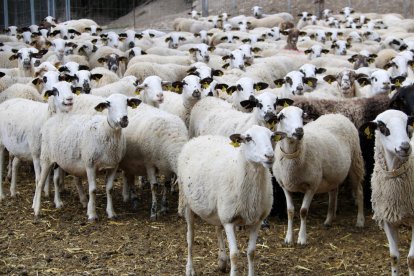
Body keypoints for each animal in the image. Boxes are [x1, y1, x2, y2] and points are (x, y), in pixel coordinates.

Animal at [32, 92, 142, 220]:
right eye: (108, 104)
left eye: (127, 102)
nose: (124, 119)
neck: (105, 131)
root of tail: (53, 118)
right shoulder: (90, 164)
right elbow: (93, 190)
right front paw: (92, 214)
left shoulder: (113, 166)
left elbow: (109, 189)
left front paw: (111, 213)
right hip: (46, 158)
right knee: (40, 182)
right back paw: (37, 209)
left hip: (58, 161)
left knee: (57, 180)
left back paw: (58, 203)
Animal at [178, 125, 274, 276]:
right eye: (248, 138)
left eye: (272, 136)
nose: (270, 156)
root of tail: (198, 138)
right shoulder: (229, 220)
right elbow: (234, 255)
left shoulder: (257, 220)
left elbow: (251, 252)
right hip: (188, 202)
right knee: (190, 237)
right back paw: (190, 268)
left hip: (220, 208)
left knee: (218, 228)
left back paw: (222, 260)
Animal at [274, 106, 366, 246]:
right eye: (281, 117)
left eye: (302, 115)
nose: (299, 131)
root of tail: (337, 114)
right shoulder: (285, 185)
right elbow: (290, 211)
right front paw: (288, 238)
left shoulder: (312, 185)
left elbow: (303, 211)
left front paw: (302, 239)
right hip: (334, 172)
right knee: (334, 191)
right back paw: (329, 219)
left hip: (355, 161)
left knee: (359, 191)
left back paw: (360, 221)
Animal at [360, 110, 414, 276]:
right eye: (382, 127)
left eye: (407, 124)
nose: (405, 147)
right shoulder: (387, 219)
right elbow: (394, 257)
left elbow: (411, 259)